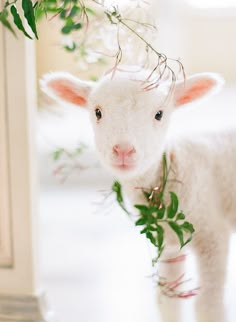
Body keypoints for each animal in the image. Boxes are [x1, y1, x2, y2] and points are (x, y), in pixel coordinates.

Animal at [41, 68, 236, 322]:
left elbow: (209, 306)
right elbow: (168, 302)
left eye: (159, 114)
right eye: (97, 112)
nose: (123, 150)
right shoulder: (170, 243)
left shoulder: (213, 236)